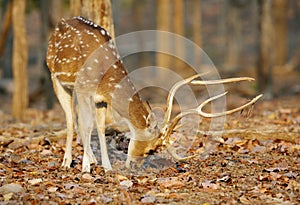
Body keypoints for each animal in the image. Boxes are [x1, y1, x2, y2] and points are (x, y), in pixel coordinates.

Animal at [47, 16, 262, 173]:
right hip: (55, 76)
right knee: (70, 118)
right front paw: (85, 168)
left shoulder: (101, 99)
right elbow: (86, 124)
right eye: (151, 148)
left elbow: (99, 127)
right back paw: (67, 162)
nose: (134, 166)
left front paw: (106, 167)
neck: (104, 77)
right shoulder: (84, 88)